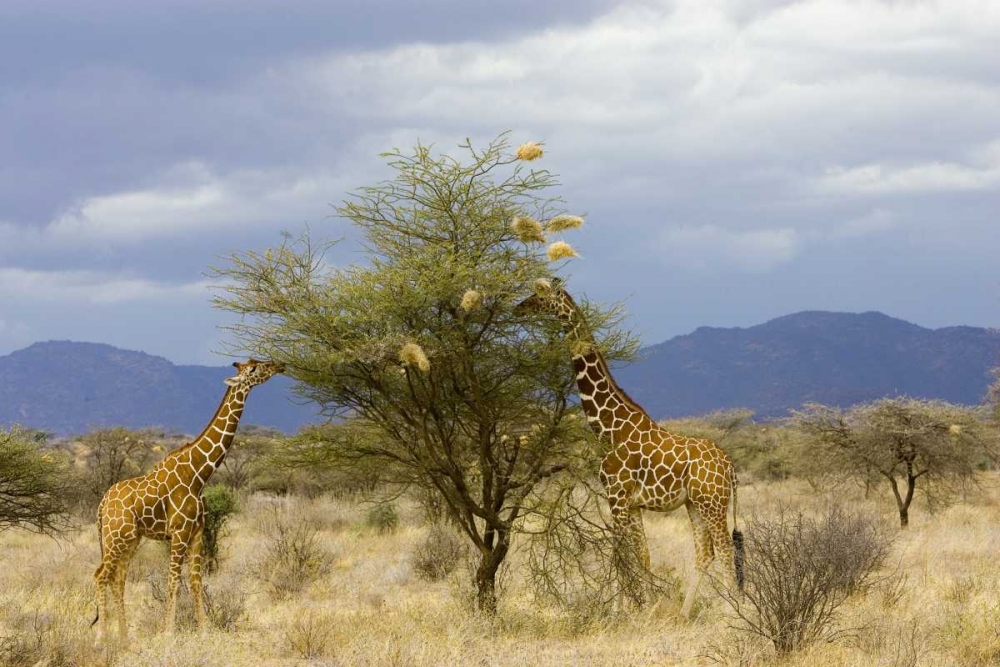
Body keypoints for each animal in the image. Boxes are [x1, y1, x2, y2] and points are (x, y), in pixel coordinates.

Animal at [92, 359, 283, 644]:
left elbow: (195, 581)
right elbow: (173, 581)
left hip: (130, 539)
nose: (279, 365)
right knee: (101, 575)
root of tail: (103, 504)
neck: (199, 473)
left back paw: (125, 637)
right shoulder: (179, 531)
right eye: (253, 369)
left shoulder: (197, 532)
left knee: (118, 578)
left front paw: (203, 630)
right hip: (115, 536)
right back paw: (102, 637)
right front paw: (168, 632)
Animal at [516, 279, 743, 617]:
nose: (519, 307)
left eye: (540, 295)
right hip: (695, 503)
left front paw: (617, 611)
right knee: (705, 553)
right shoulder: (632, 504)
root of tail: (730, 466)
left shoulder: (617, 497)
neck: (610, 428)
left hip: (712, 502)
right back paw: (684, 613)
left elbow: (619, 553)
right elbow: (642, 553)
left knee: (726, 549)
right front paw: (647, 607)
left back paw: (733, 611)